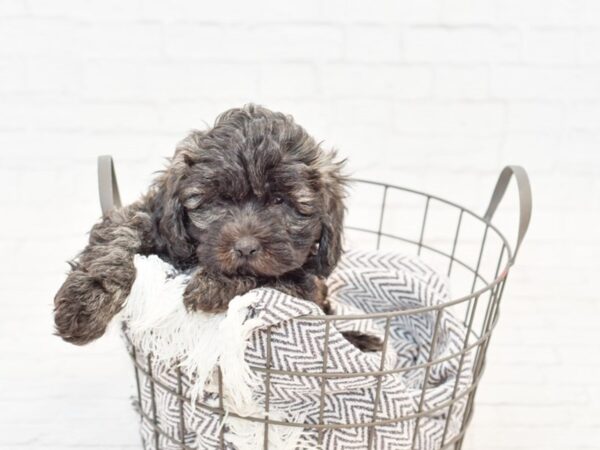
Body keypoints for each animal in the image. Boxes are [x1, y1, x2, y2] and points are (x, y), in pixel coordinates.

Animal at [52, 104, 380, 352]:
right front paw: (84, 303)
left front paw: (214, 285)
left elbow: (271, 279)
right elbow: (117, 238)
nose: (245, 247)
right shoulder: (149, 221)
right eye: (219, 200)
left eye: (280, 201)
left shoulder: (307, 286)